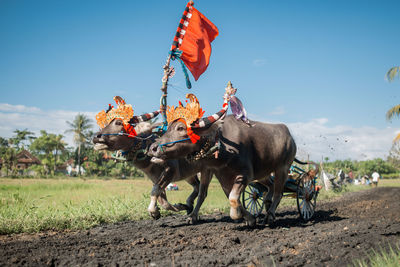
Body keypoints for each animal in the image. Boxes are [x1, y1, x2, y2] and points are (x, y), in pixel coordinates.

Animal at [150, 112, 296, 227]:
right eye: (168, 128)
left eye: (180, 128)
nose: (153, 148)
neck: (222, 146)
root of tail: (289, 136)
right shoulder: (216, 174)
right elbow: (223, 196)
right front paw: (249, 218)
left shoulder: (246, 174)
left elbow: (233, 197)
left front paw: (237, 215)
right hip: (263, 173)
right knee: (270, 186)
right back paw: (267, 202)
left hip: (282, 168)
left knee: (278, 193)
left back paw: (270, 215)